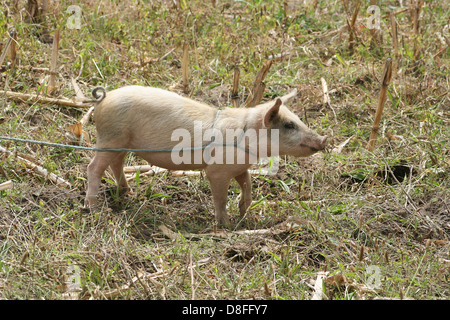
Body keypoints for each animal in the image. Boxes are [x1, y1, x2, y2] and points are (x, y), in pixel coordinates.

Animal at [84, 85, 326, 225]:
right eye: (289, 125)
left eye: (298, 120)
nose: (324, 139)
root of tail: (103, 99)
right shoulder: (217, 171)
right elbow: (220, 198)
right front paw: (225, 226)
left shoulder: (240, 167)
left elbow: (247, 184)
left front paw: (243, 212)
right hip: (110, 138)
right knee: (93, 167)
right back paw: (94, 208)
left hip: (121, 142)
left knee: (116, 163)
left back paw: (128, 192)